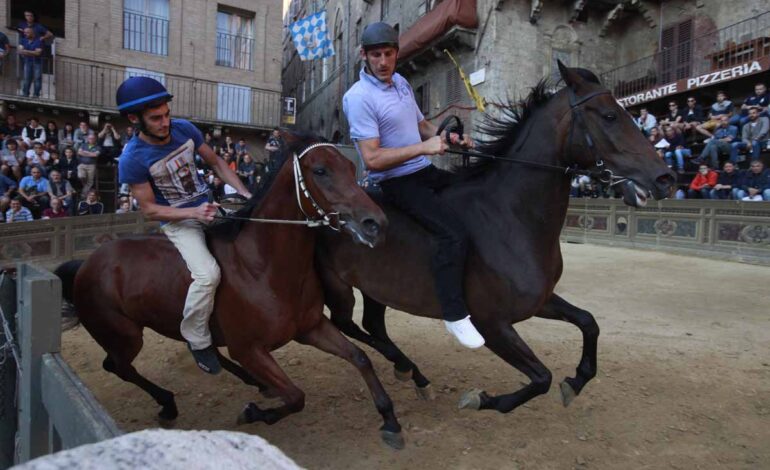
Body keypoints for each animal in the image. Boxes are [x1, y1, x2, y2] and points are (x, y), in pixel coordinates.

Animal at [56, 131, 404, 448]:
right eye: (320, 170)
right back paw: (168, 403)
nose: (376, 223)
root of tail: (87, 263)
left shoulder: (311, 327)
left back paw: (248, 381)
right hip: (124, 335)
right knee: (117, 366)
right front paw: (253, 413)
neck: (264, 267)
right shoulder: (249, 349)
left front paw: (390, 419)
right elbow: (296, 396)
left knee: (196, 348)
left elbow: (360, 357)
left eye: (350, 165)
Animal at [314, 63, 672, 414]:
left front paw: (577, 379)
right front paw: (482, 399)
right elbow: (541, 377)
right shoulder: (491, 324)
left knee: (372, 325)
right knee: (345, 323)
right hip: (337, 285)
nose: (665, 178)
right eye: (609, 116)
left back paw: (412, 373)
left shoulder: (539, 301)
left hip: (375, 288)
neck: (510, 217)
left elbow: (589, 322)